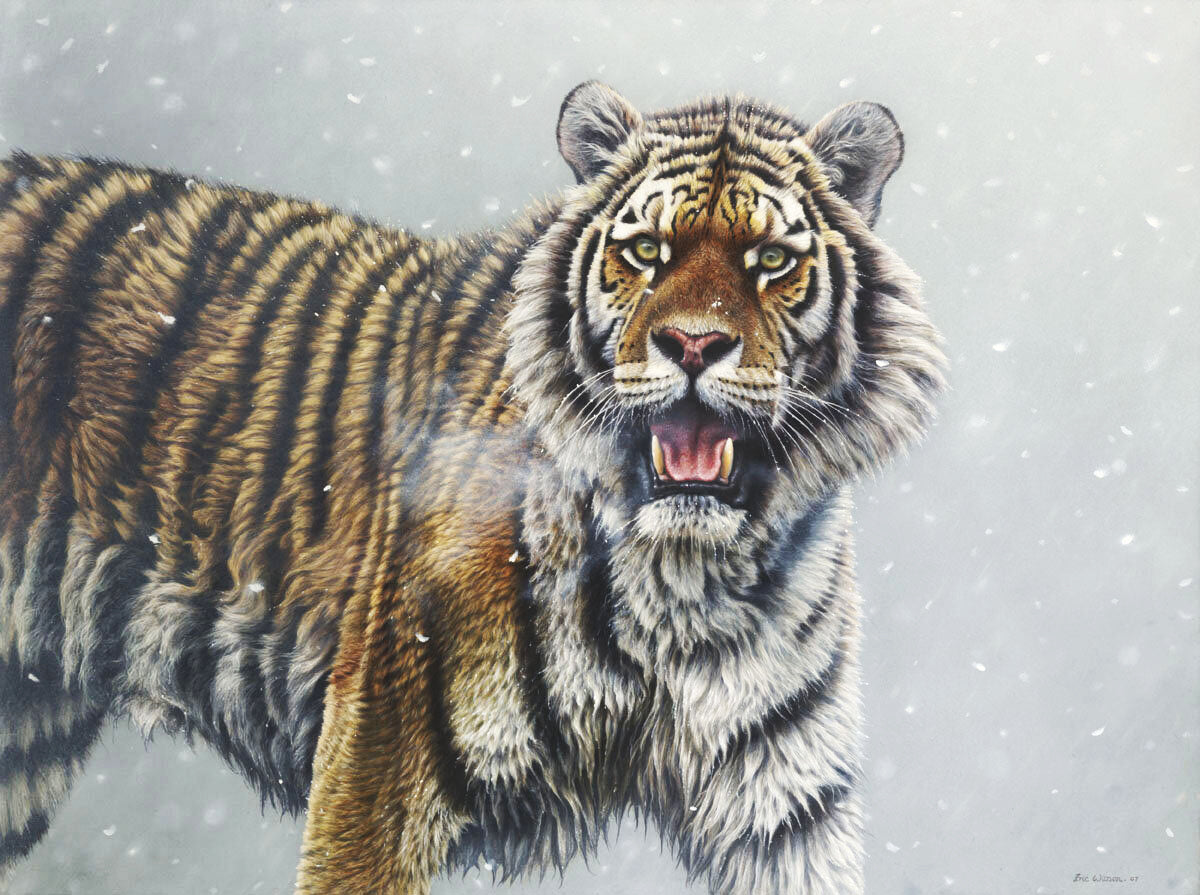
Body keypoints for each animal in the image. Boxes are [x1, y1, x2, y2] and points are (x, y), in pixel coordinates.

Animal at [0, 81, 946, 894]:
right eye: (646, 251)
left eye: (771, 260)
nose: (692, 344)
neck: (685, 574)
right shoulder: (376, 763)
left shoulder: (783, 804)